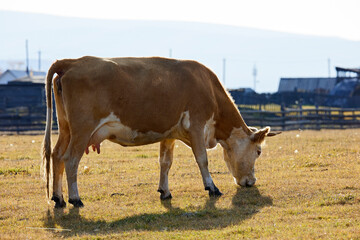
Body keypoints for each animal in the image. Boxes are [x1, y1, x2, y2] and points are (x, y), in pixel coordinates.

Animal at [41, 56, 278, 208]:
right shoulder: (197, 126)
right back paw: (75, 198)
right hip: (81, 130)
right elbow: (202, 160)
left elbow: (165, 162)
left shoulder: (170, 134)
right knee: (71, 160)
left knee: (56, 156)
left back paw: (59, 198)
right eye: (258, 152)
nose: (251, 182)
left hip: (66, 129)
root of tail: (72, 62)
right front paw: (211, 187)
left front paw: (165, 191)